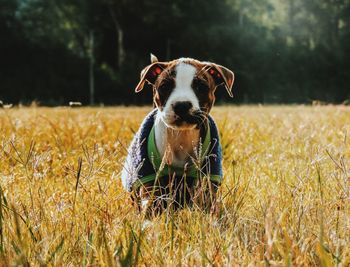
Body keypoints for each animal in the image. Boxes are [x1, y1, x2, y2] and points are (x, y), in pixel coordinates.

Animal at [121, 55, 234, 217]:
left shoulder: (208, 178)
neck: (181, 136)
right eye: (164, 86)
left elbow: (207, 202)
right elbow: (151, 203)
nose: (182, 105)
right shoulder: (148, 177)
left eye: (201, 87)